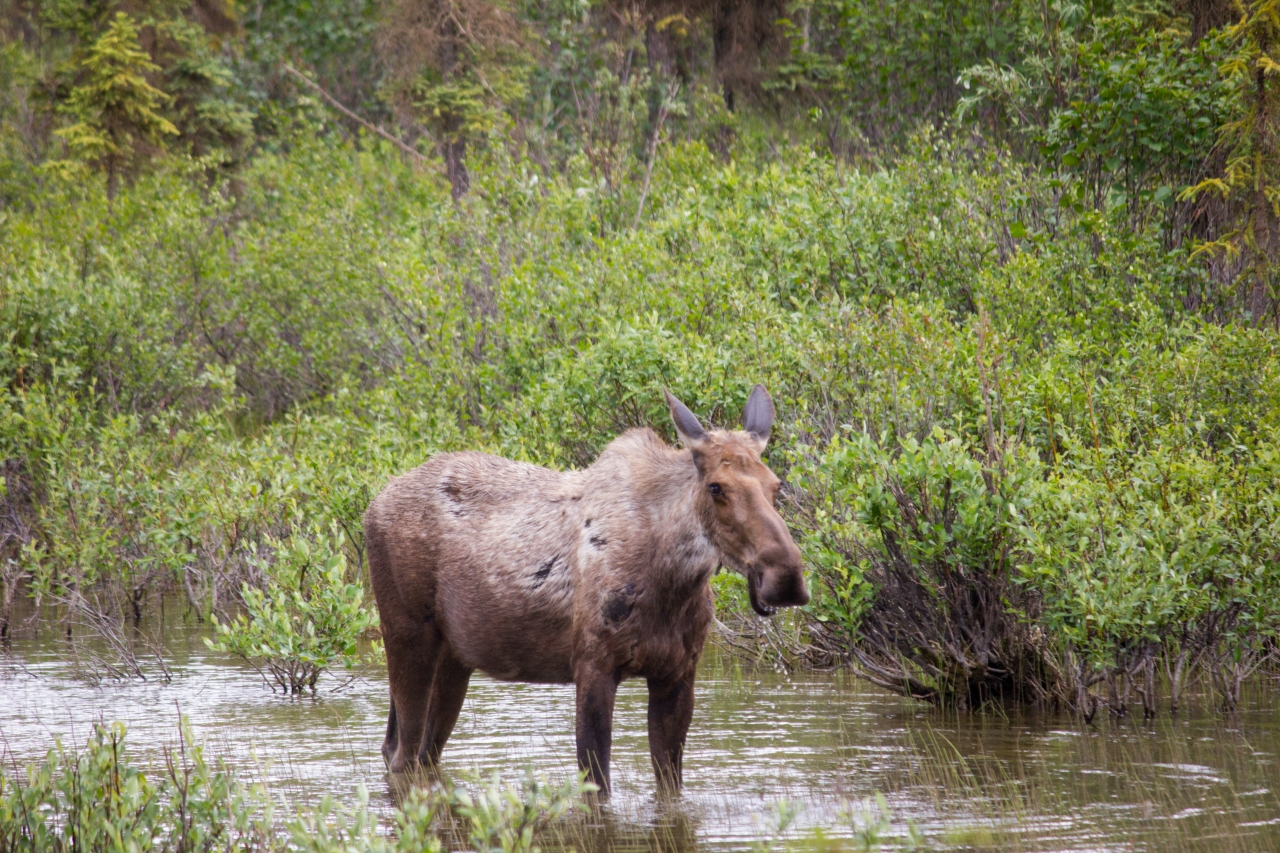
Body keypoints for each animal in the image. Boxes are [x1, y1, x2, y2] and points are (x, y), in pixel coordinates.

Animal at [366, 384, 808, 788]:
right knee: (402, 756)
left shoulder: (679, 673)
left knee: (412, 750)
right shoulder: (593, 666)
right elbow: (597, 785)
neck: (672, 584)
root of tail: (372, 505)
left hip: (455, 655)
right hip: (406, 633)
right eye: (716, 487)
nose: (785, 577)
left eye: (776, 485)